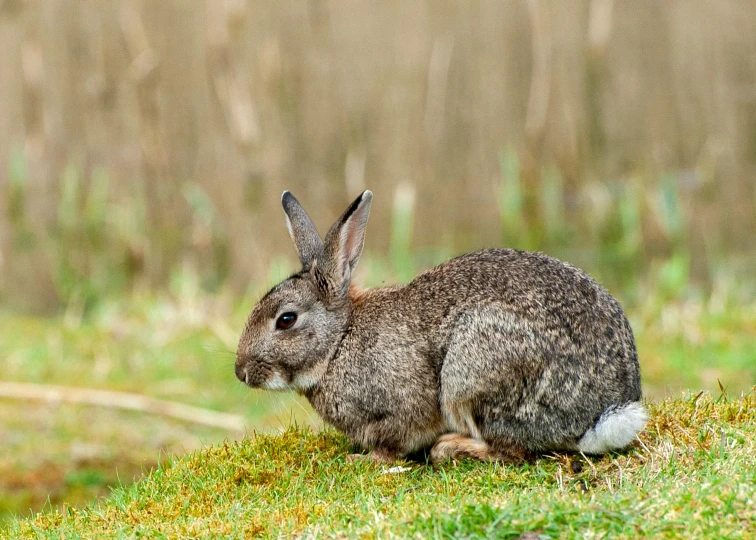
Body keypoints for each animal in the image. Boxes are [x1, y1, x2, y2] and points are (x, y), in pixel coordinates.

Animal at [235, 191, 644, 464]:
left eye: (286, 319)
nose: (240, 373)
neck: (339, 342)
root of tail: (602, 414)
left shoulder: (402, 407)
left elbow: (394, 442)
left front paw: (363, 459)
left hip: (473, 373)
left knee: (511, 449)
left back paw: (451, 447)